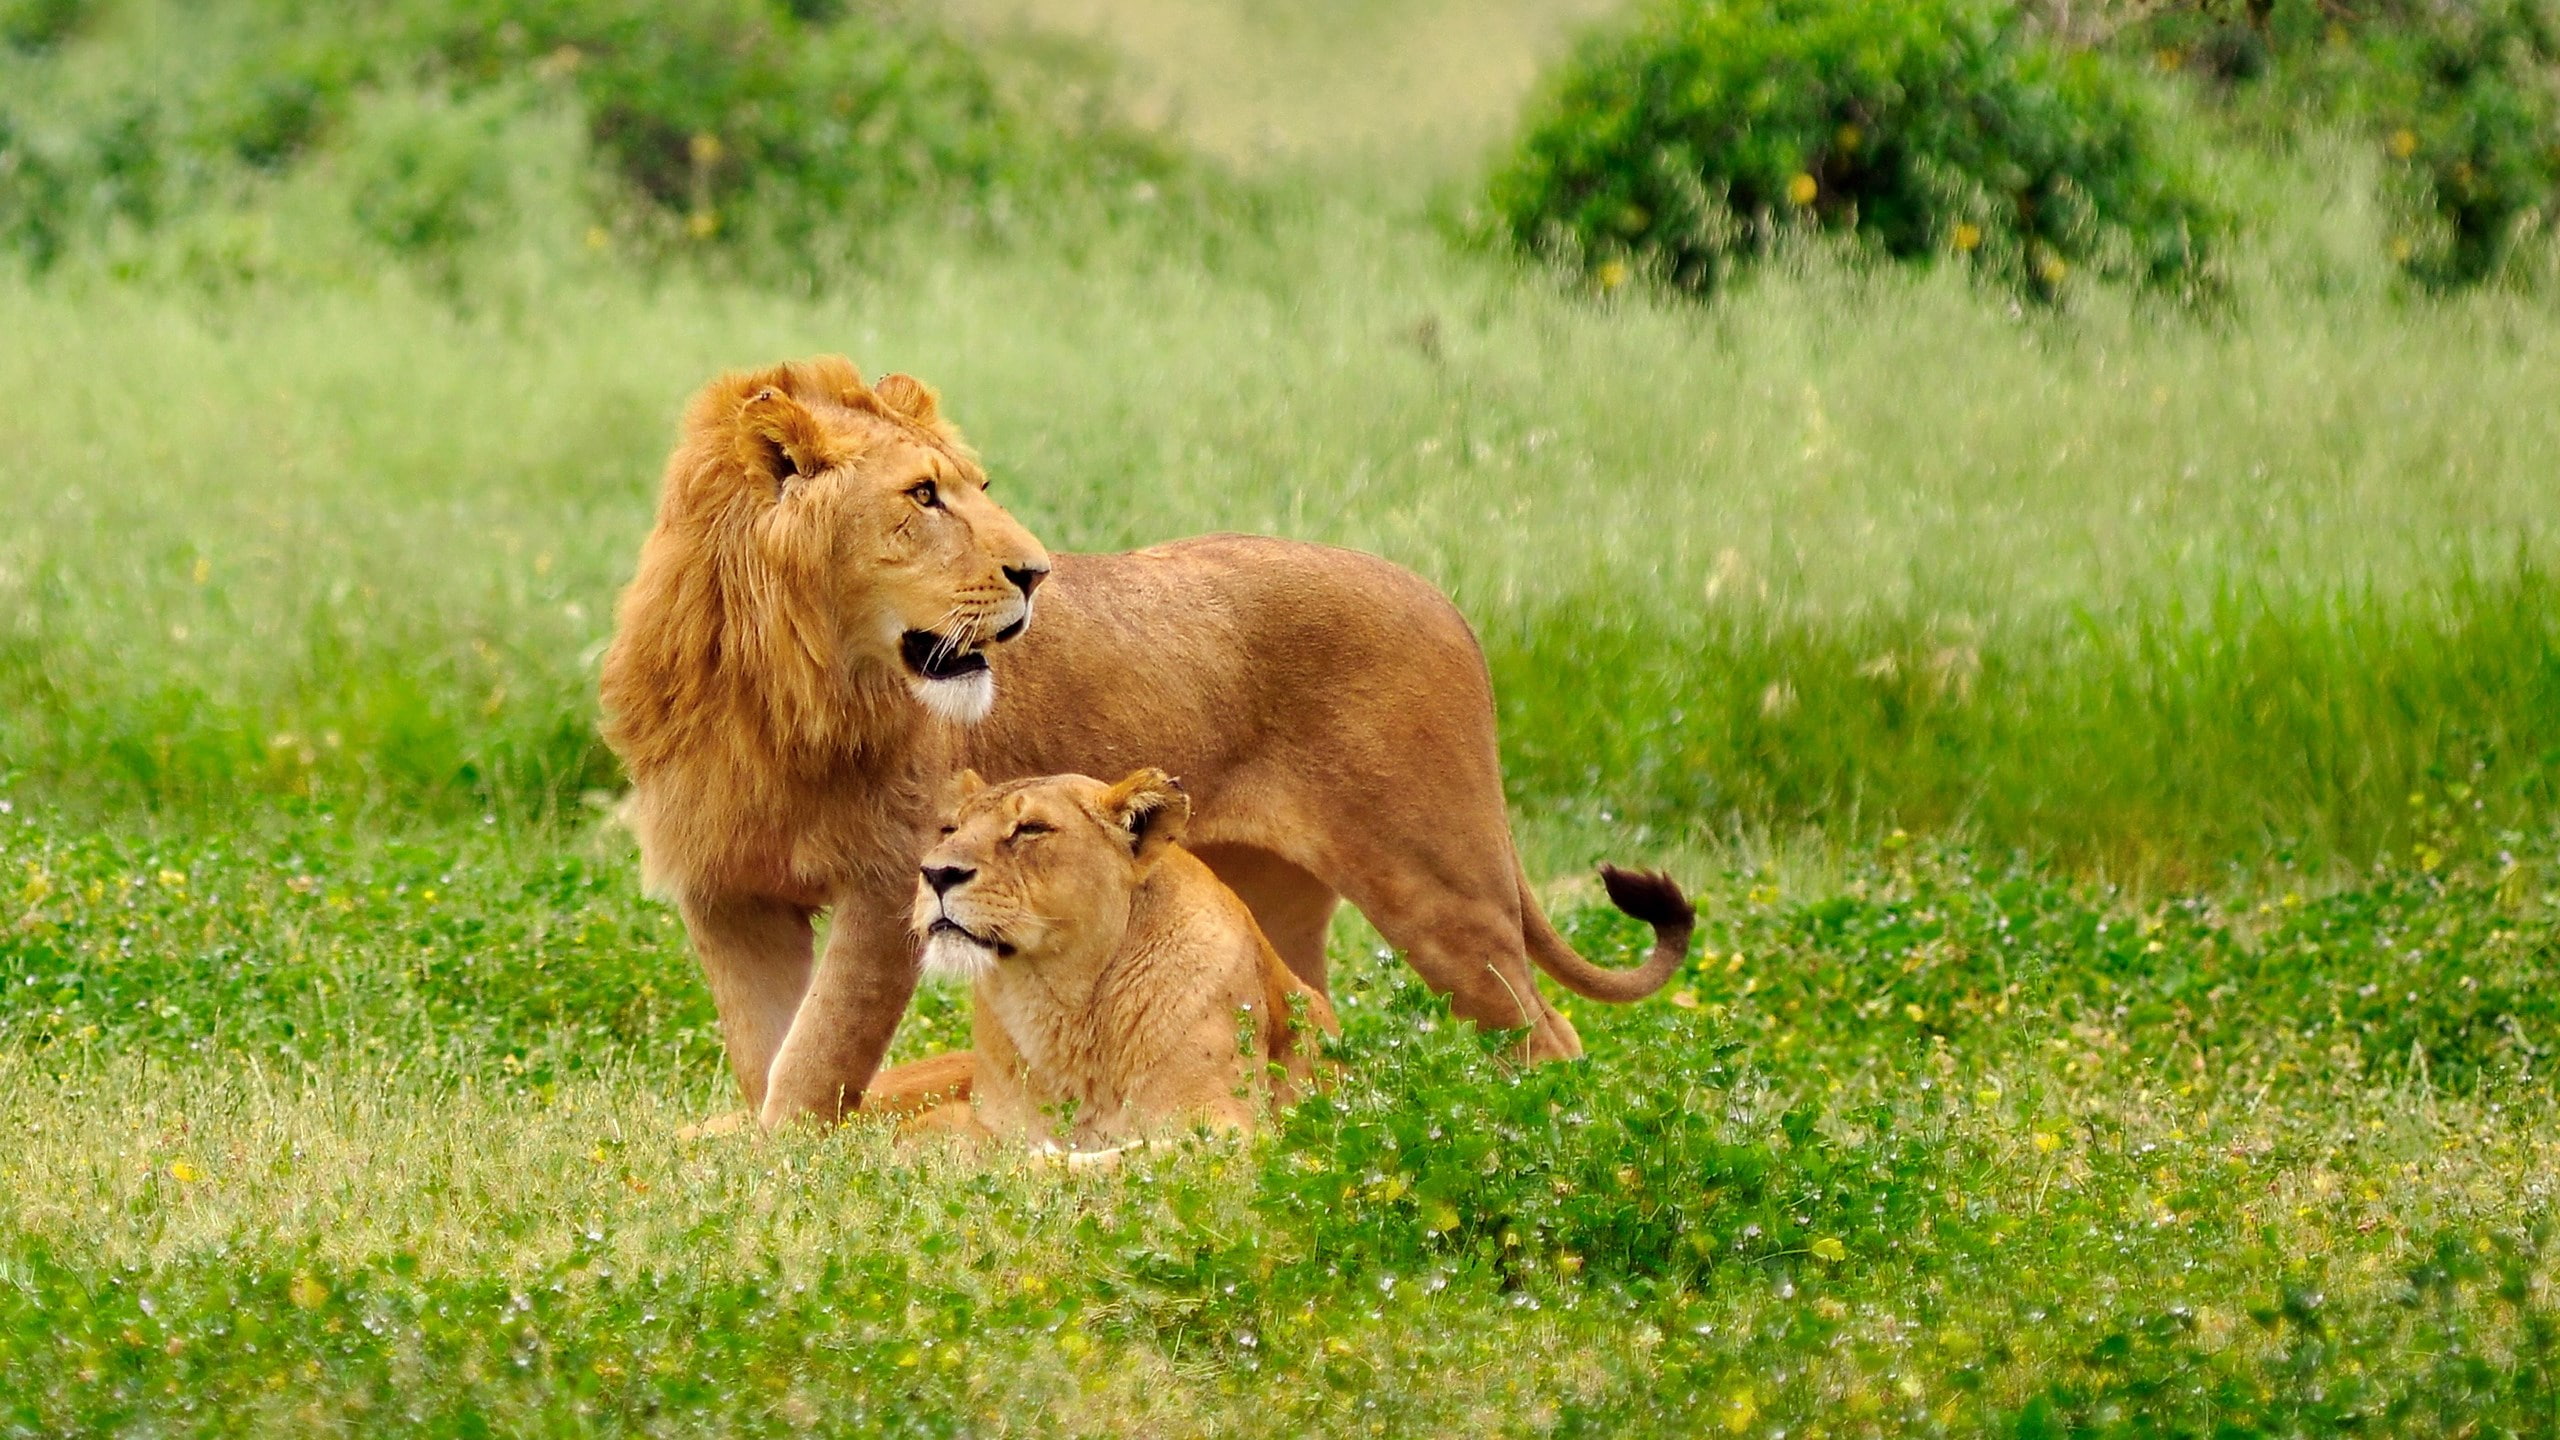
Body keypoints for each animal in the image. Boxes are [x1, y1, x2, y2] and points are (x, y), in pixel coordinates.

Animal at [600, 356, 1697, 1130]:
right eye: (922, 496)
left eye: (978, 484)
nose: (1035, 572)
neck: (775, 684)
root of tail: (1444, 602)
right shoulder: (728, 895)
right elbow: (767, 1054)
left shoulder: (886, 885)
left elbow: (819, 1057)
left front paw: (787, 1172)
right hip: (1275, 897)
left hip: (1439, 883)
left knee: (1548, 1031)